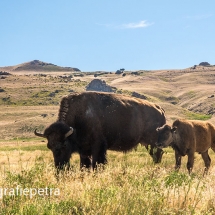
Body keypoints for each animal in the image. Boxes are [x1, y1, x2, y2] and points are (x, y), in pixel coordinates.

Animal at [34, 91, 165, 170]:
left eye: (64, 145)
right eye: (49, 146)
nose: (60, 168)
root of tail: (160, 109)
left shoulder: (98, 147)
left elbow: (97, 164)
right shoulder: (84, 150)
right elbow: (85, 165)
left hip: (154, 143)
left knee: (157, 154)